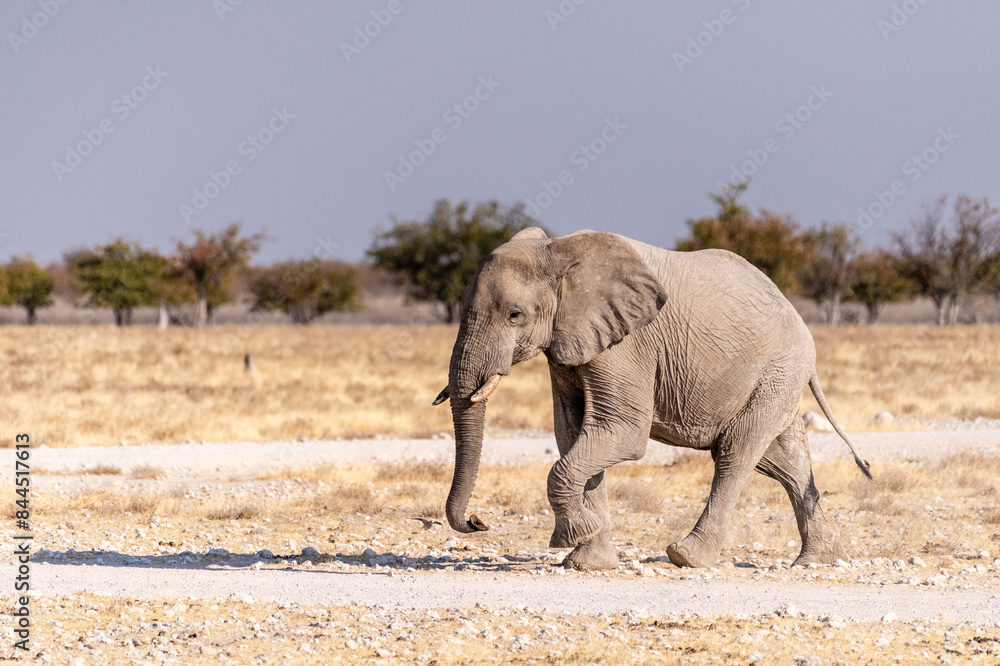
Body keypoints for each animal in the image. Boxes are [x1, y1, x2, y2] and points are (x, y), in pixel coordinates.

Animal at [433, 228, 871, 571]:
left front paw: (572, 537)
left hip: (778, 371)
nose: (478, 522)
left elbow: (620, 433)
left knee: (735, 454)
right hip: (775, 380)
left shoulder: (627, 345)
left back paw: (686, 557)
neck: (559, 251)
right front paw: (587, 562)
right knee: (783, 461)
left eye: (514, 315)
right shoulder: (569, 344)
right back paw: (816, 560)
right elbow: (575, 433)